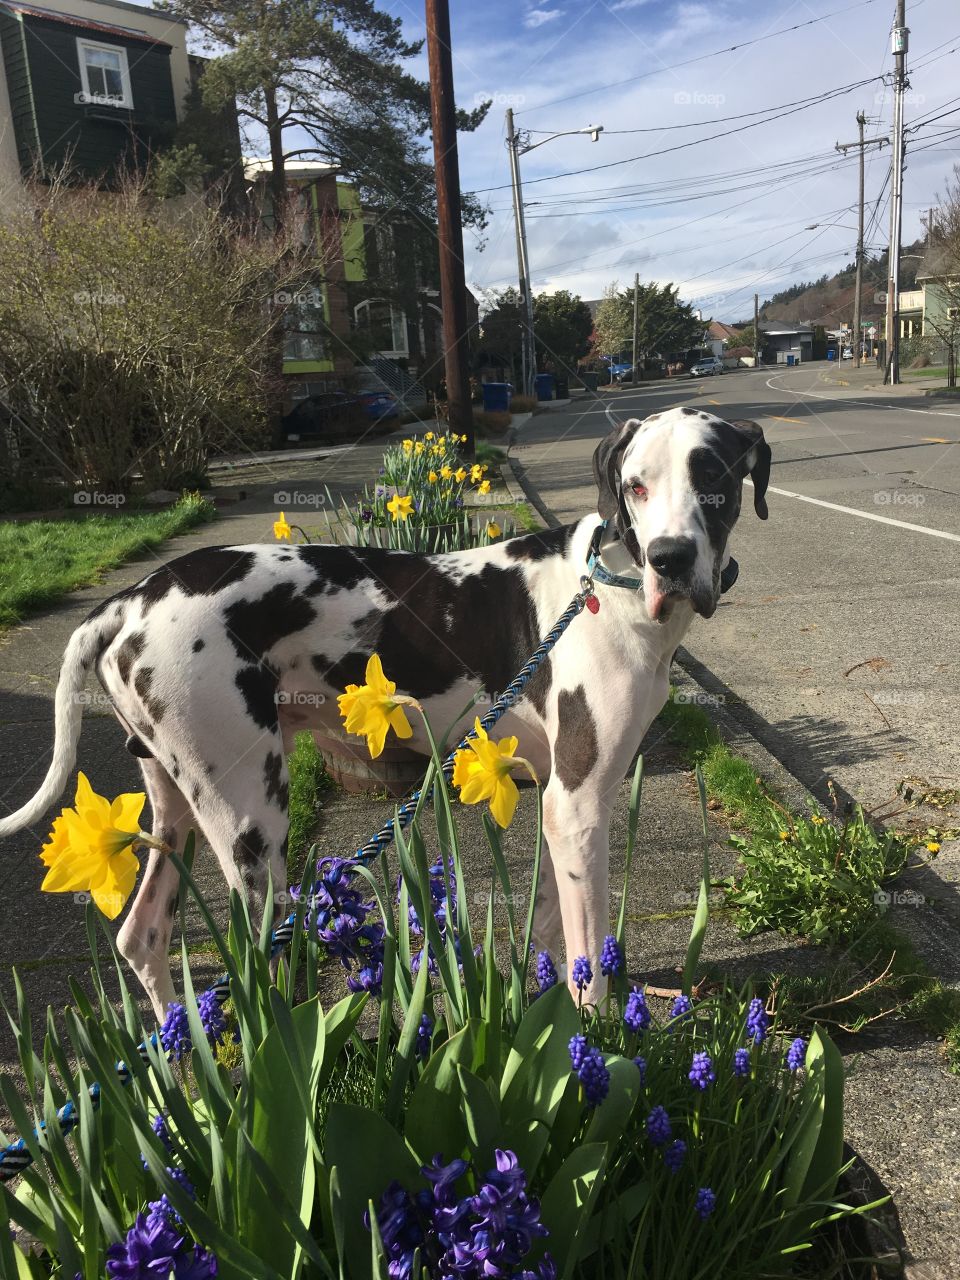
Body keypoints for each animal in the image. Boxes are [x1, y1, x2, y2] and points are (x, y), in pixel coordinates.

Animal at [0, 404, 768, 1013]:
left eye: (715, 481)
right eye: (637, 485)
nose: (671, 559)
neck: (614, 583)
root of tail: (129, 598)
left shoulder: (557, 800)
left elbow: (553, 926)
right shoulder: (578, 802)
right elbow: (588, 954)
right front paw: (597, 1038)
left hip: (174, 810)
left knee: (143, 935)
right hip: (252, 826)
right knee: (247, 965)